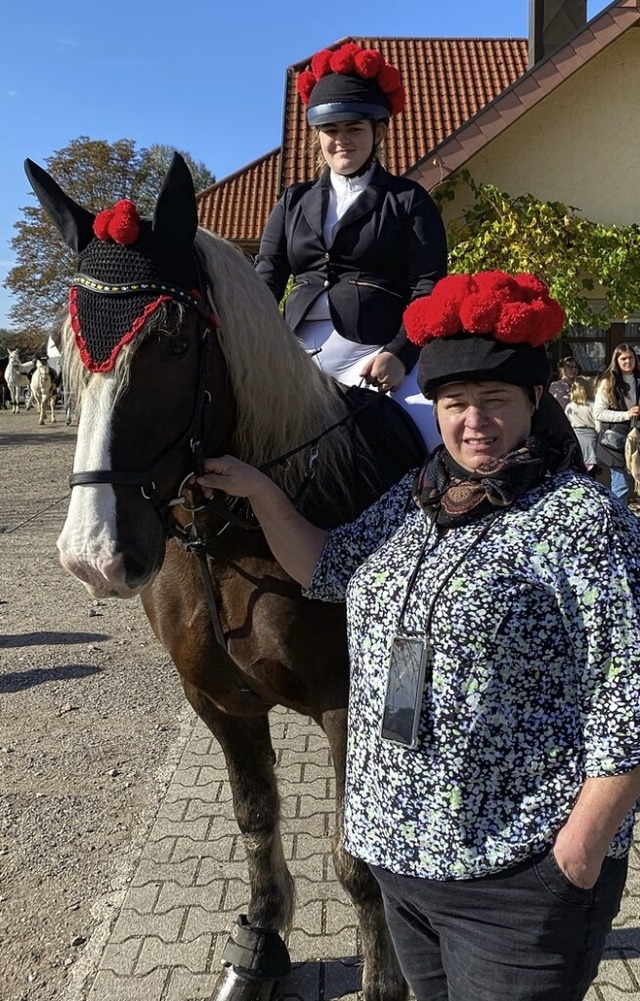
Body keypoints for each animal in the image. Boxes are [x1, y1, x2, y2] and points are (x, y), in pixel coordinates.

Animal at [26, 156, 424, 1001]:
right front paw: (259, 947)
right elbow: (255, 818)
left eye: (175, 341)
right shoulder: (216, 699)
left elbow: (353, 861)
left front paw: (383, 980)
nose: (94, 554)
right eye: (70, 351)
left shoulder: (346, 704)